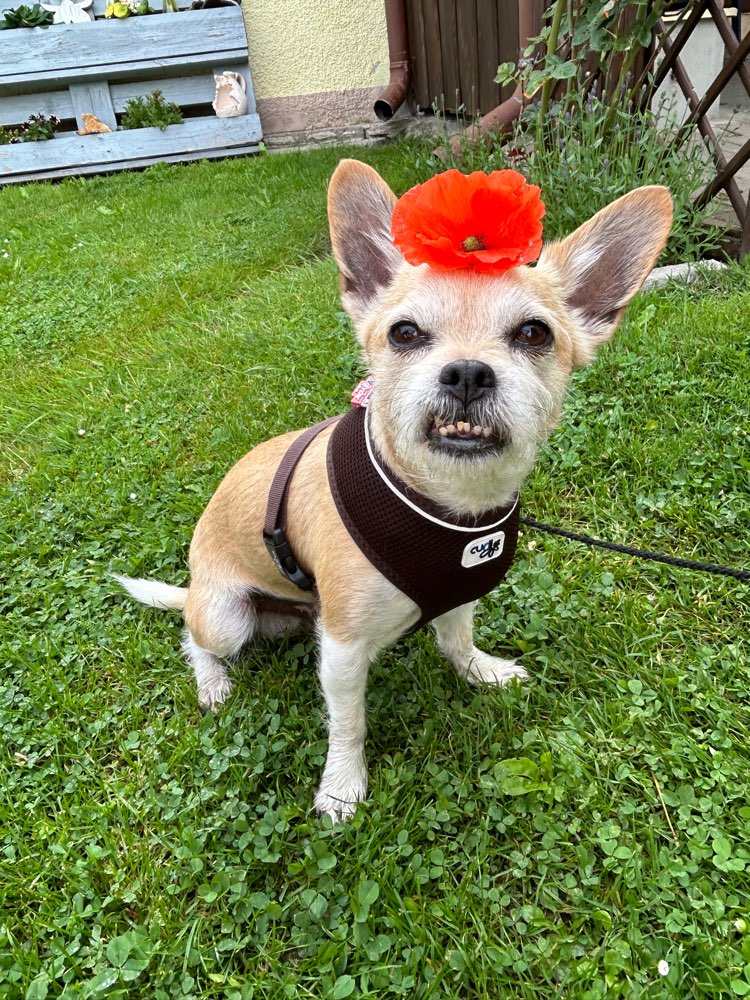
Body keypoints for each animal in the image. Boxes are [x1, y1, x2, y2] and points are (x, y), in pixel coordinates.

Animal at [119, 160, 676, 820]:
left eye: (534, 334)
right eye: (405, 333)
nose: (467, 372)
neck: (448, 508)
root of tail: (196, 586)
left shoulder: (458, 596)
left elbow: (457, 641)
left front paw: (481, 672)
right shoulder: (340, 649)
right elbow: (348, 723)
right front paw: (341, 786)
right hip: (228, 616)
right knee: (194, 637)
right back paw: (212, 682)